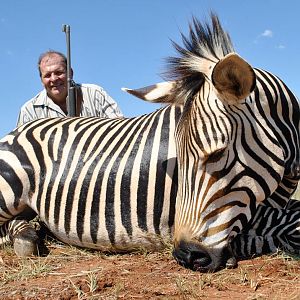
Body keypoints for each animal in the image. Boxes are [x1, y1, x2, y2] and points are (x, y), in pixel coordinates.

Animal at [0, 14, 298, 272]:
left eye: (218, 154)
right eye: (179, 160)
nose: (186, 256)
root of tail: (19, 129)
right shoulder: (255, 214)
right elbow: (289, 224)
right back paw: (26, 239)